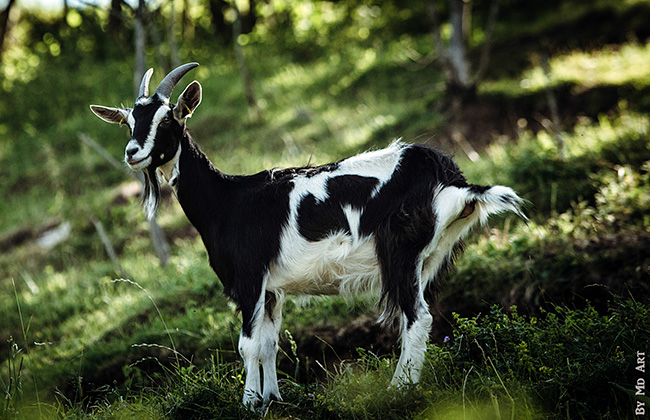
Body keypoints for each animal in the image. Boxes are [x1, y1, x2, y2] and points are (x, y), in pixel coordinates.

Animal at [90, 63, 528, 410]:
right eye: (128, 121)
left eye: (167, 119)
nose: (132, 152)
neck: (227, 202)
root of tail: (450, 177)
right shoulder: (272, 289)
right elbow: (269, 343)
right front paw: (272, 399)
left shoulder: (249, 278)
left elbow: (247, 344)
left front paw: (248, 404)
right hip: (429, 257)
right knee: (420, 315)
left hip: (400, 252)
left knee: (417, 317)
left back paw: (399, 389)